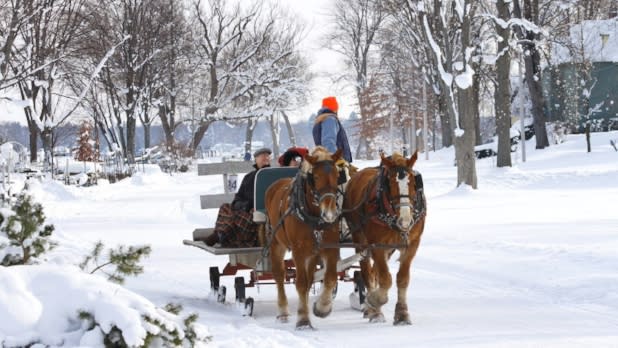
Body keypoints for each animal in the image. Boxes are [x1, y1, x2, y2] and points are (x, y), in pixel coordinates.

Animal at [264, 146, 344, 328]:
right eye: (316, 177)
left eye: (337, 175)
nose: (329, 214)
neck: (314, 217)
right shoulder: (298, 251)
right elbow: (300, 283)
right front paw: (303, 320)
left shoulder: (330, 247)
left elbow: (329, 278)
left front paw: (321, 308)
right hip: (276, 243)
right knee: (279, 275)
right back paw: (283, 311)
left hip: (312, 253)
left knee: (309, 280)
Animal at [342, 151, 424, 324]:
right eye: (390, 184)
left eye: (414, 183)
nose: (405, 220)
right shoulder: (377, 245)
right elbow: (386, 279)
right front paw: (374, 301)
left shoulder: (412, 245)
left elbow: (402, 278)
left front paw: (402, 314)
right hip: (360, 239)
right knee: (367, 271)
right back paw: (372, 310)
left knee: (374, 273)